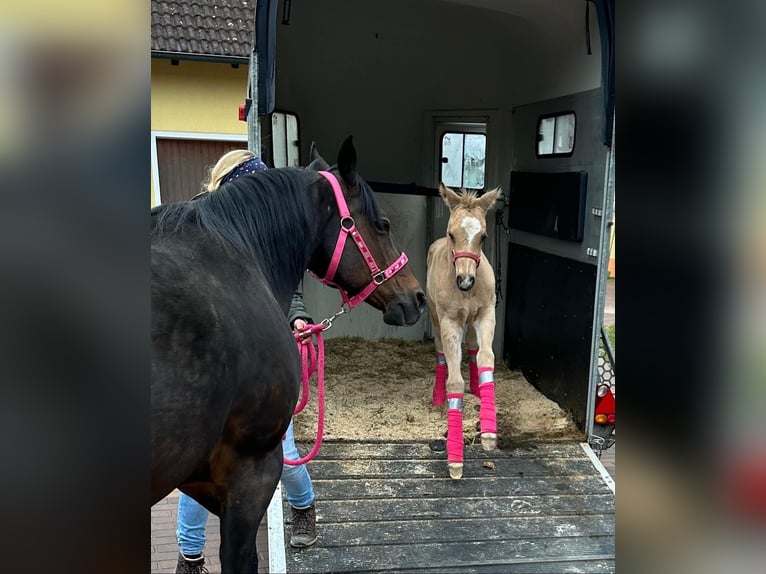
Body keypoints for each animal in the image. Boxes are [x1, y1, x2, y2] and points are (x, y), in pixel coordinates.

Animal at [426, 183, 502, 479]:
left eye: (483, 236)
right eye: (452, 234)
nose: (466, 281)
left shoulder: (486, 314)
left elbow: (485, 357)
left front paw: (489, 432)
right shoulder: (449, 321)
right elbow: (454, 381)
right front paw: (455, 459)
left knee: (471, 347)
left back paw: (477, 390)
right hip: (435, 318)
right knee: (441, 355)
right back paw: (437, 399)